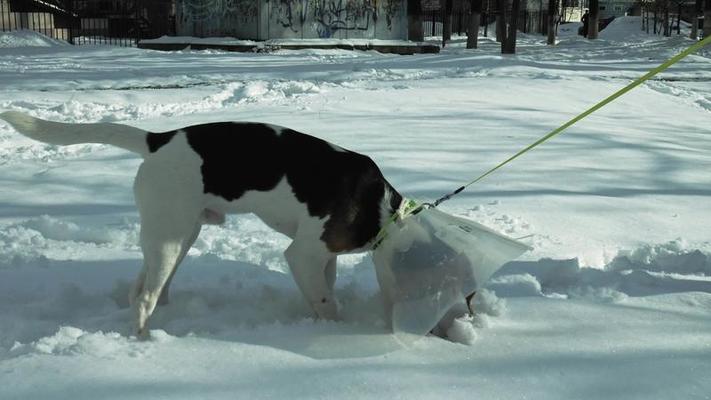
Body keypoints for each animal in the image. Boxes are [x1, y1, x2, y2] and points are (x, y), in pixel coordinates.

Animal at [2, 111, 408, 338]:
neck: (386, 211)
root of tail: (158, 139)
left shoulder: (324, 258)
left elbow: (324, 291)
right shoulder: (303, 255)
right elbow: (327, 303)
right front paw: (336, 330)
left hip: (176, 234)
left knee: (141, 290)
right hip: (170, 237)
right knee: (144, 298)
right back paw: (143, 343)